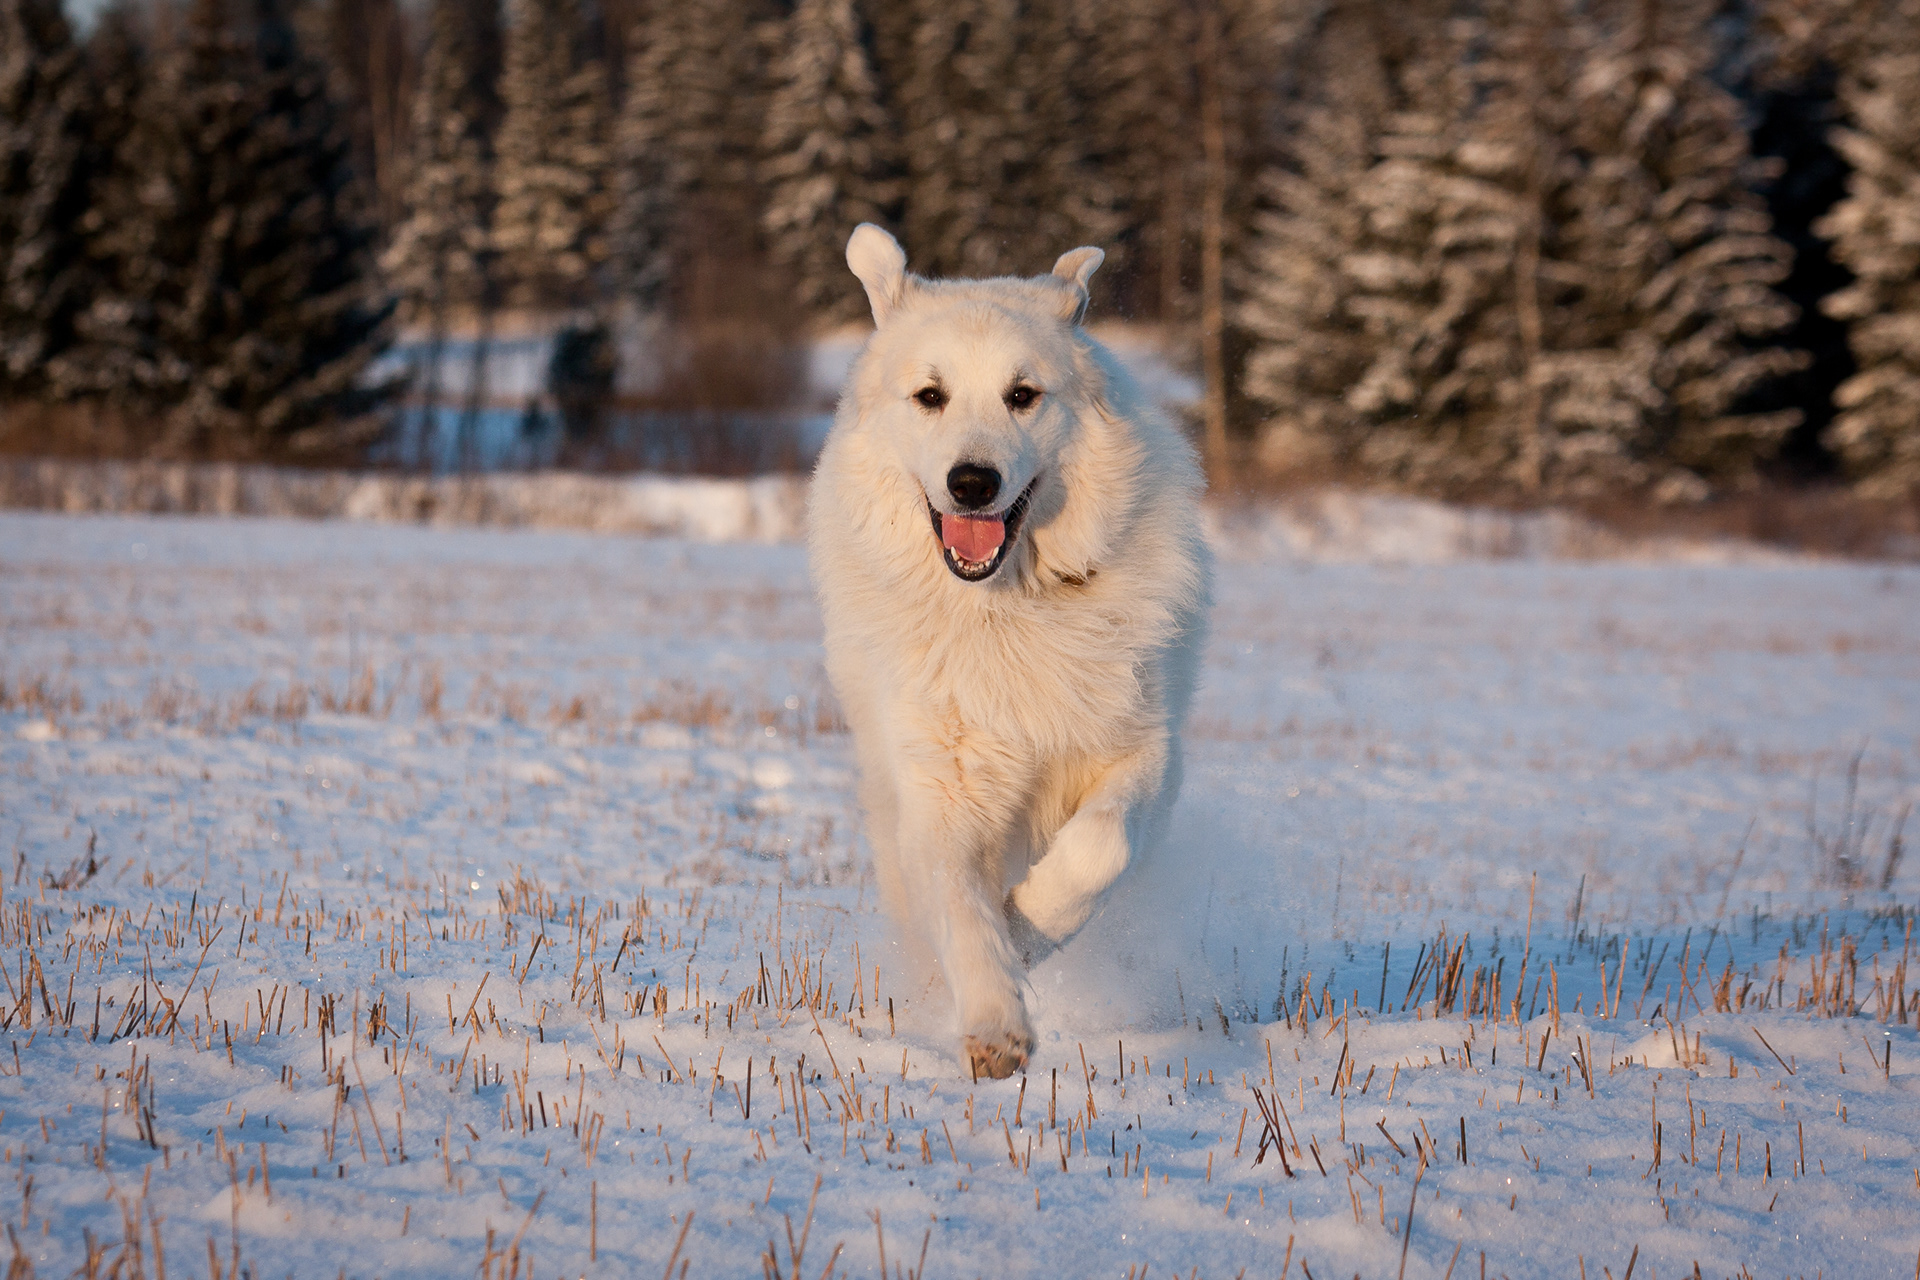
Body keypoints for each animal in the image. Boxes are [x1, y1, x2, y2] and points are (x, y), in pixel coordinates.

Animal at [802, 222, 1205, 1082]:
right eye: (931, 396)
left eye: (1023, 395)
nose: (972, 482)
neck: (1005, 607)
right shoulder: (941, 789)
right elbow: (962, 909)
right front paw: (995, 1022)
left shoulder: (1141, 753)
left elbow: (1098, 851)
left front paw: (1027, 927)